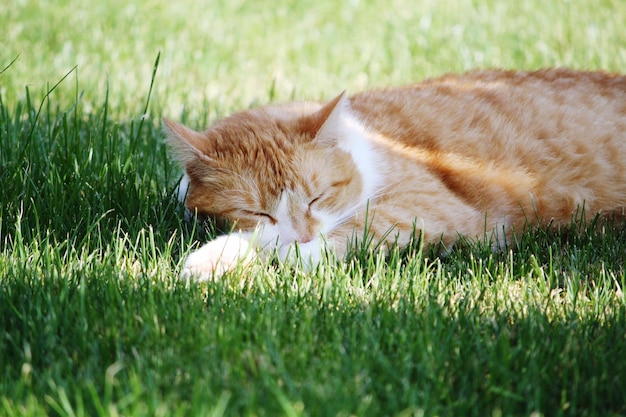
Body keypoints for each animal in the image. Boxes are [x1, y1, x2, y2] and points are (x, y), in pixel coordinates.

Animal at [163, 68, 624, 280]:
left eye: (318, 197)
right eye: (258, 212)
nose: (305, 237)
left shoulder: (440, 207)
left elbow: (366, 224)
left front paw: (294, 255)